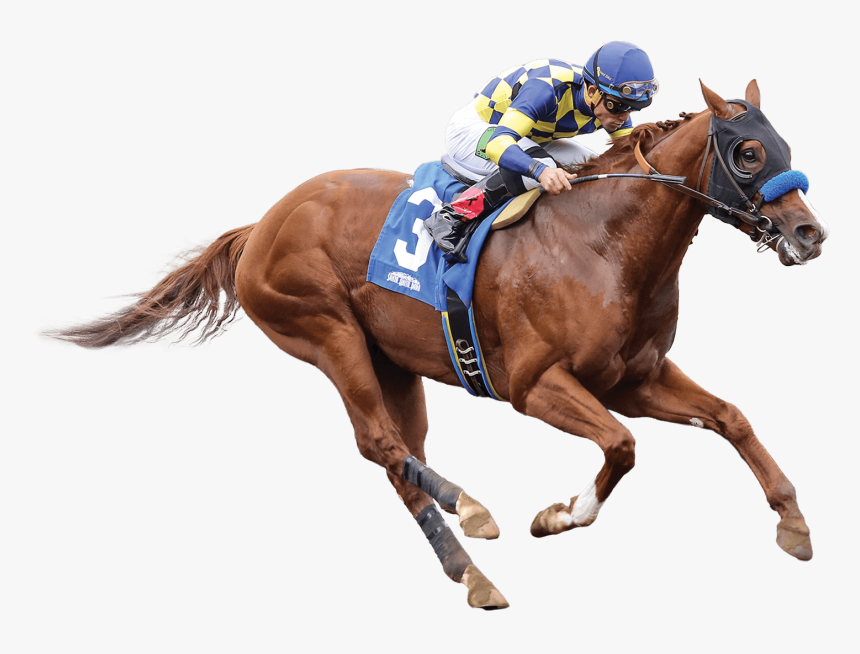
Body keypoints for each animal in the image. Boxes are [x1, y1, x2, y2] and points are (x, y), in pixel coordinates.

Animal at [51, 80, 829, 610]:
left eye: (785, 146)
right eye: (748, 152)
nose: (810, 233)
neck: (605, 243)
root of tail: (261, 224)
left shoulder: (633, 379)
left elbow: (730, 417)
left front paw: (793, 522)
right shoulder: (535, 385)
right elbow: (622, 446)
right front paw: (558, 515)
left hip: (394, 364)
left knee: (402, 455)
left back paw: (473, 574)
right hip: (326, 330)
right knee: (379, 444)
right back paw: (475, 511)